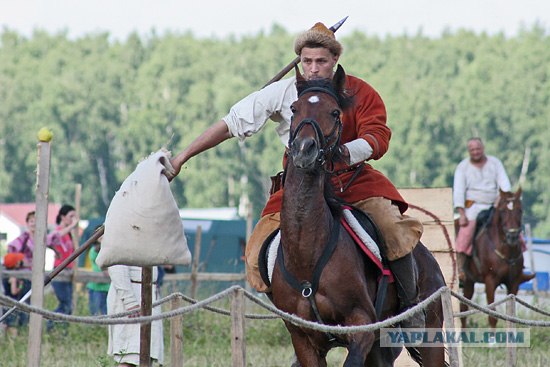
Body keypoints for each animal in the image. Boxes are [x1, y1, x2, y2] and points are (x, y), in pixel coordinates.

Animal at [272, 64, 448, 366]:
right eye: (294, 109)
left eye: (334, 112)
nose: (304, 149)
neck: (308, 256)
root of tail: (430, 261)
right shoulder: (304, 340)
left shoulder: (362, 327)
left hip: (429, 338)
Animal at [464, 188, 536, 330]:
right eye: (502, 211)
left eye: (520, 210)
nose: (512, 236)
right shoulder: (490, 281)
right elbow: (492, 317)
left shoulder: (513, 283)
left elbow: (511, 317)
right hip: (468, 280)